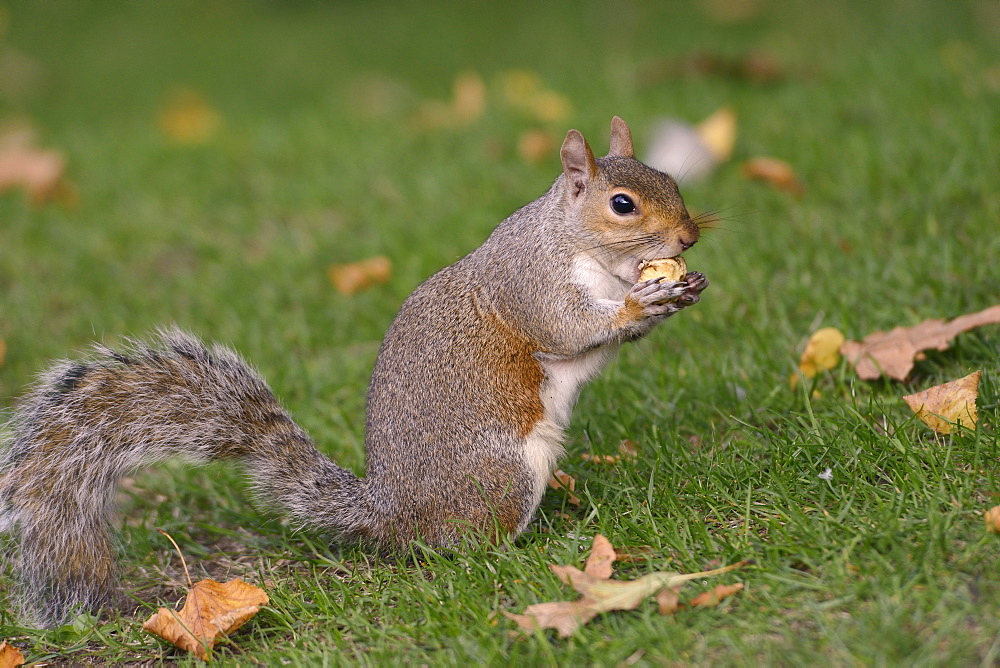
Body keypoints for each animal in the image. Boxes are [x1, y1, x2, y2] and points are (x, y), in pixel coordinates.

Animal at [0, 118, 708, 628]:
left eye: (671, 181)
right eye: (623, 204)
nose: (688, 238)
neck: (577, 244)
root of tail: (391, 515)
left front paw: (677, 291)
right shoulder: (531, 286)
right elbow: (567, 330)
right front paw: (642, 302)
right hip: (500, 473)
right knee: (465, 546)